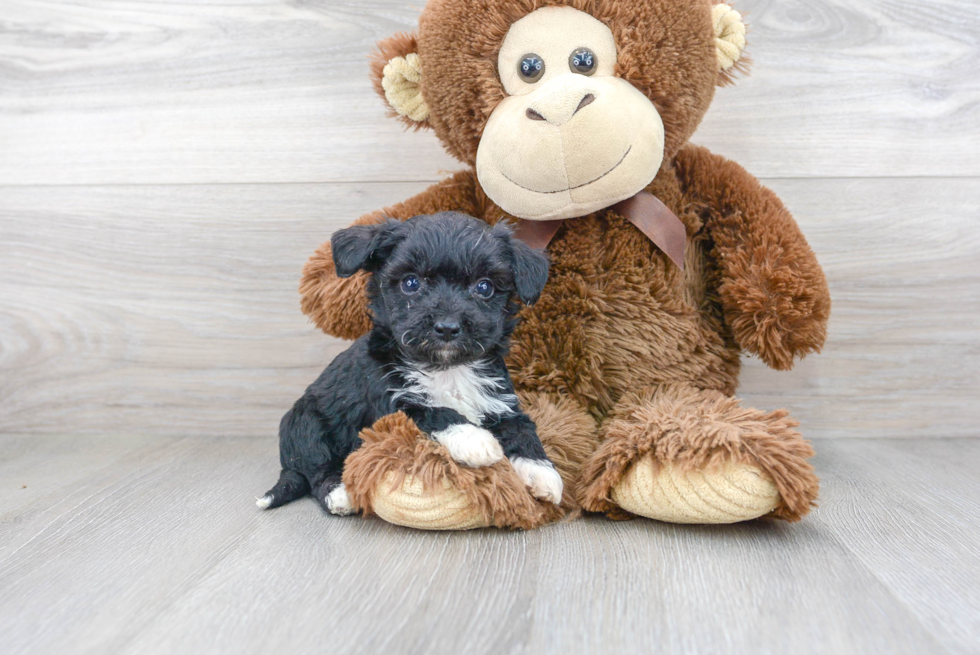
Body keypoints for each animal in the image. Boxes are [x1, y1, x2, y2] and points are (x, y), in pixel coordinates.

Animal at [256, 213, 564, 516]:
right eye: (411, 283)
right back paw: (339, 493)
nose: (448, 327)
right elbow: (434, 411)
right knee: (317, 468)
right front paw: (473, 439)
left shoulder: (500, 401)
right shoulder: (388, 405)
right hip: (306, 424)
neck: (447, 369)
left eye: (485, 287)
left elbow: (523, 429)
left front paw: (542, 472)